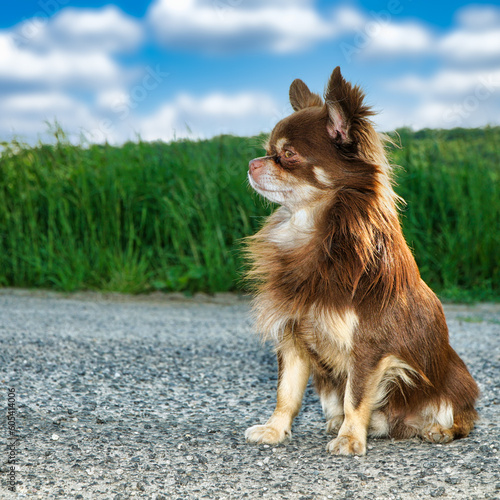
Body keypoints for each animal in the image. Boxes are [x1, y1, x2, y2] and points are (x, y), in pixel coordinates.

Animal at [244, 67, 478, 458]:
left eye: (287, 154)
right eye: (267, 152)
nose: (251, 164)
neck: (314, 230)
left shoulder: (369, 348)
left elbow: (356, 396)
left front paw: (351, 438)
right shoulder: (293, 338)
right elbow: (286, 393)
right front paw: (275, 430)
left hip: (456, 381)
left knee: (463, 417)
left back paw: (438, 430)